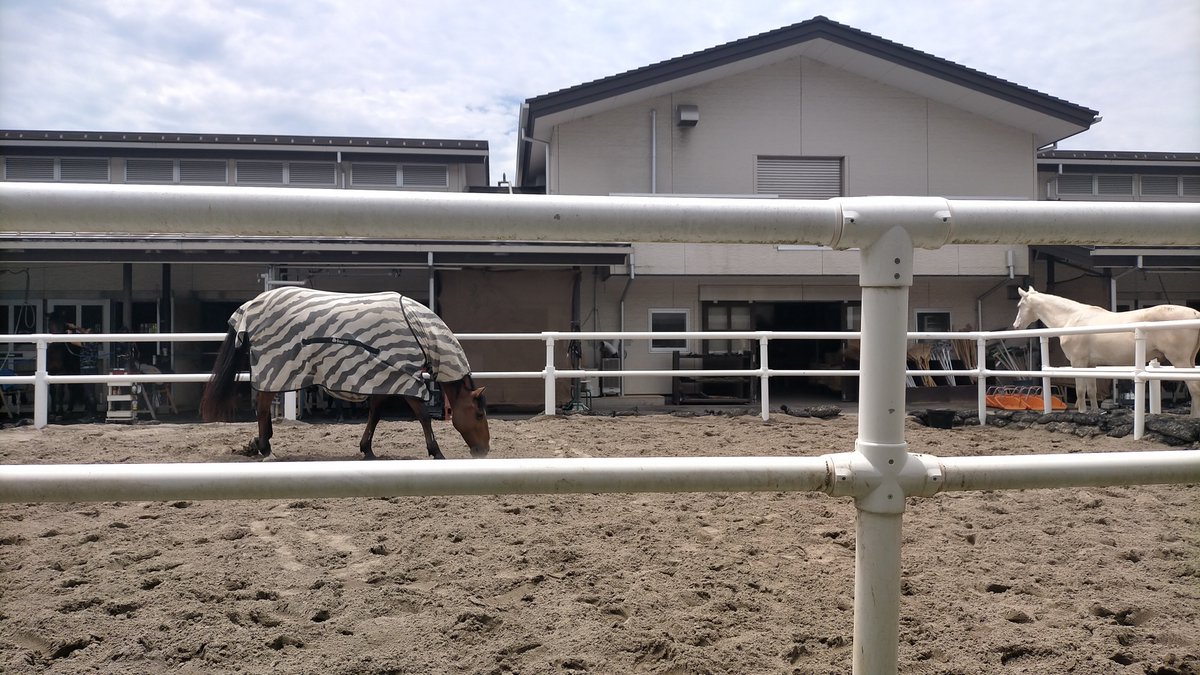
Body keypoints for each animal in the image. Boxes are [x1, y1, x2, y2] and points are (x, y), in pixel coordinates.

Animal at [200, 287, 490, 459]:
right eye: (478, 414)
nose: (484, 450)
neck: (420, 331)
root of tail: (252, 304)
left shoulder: (383, 377)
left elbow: (375, 414)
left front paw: (367, 449)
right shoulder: (404, 379)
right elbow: (424, 418)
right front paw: (436, 452)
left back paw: (262, 443)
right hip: (276, 371)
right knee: (261, 408)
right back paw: (265, 448)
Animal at [1011, 287, 1200, 417]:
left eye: (1019, 305)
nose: (1016, 326)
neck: (1072, 318)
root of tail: (1195, 313)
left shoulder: (1078, 363)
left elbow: (1080, 390)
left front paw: (1082, 412)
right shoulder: (1090, 365)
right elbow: (1091, 390)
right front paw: (1094, 412)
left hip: (1180, 360)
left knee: (1194, 387)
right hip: (1189, 360)